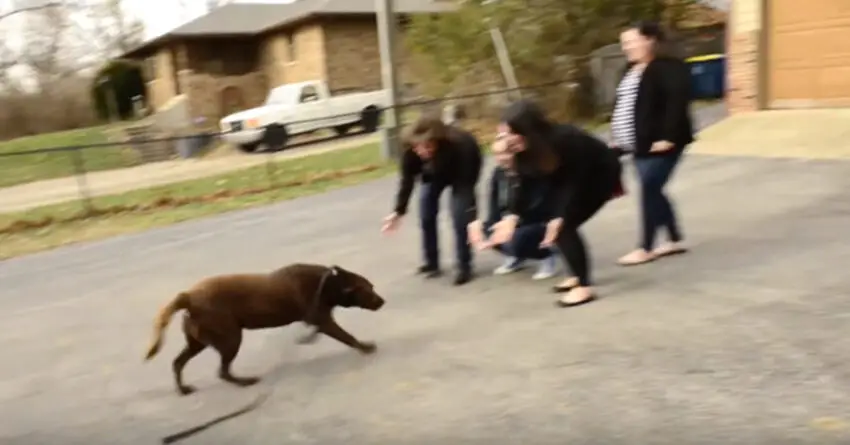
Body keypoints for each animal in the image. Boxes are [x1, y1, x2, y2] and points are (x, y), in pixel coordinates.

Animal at [143, 262, 384, 394]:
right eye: (369, 289)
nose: (383, 301)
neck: (330, 283)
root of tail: (188, 297)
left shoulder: (319, 319)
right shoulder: (323, 320)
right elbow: (347, 336)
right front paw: (365, 347)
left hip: (197, 341)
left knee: (178, 363)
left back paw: (183, 390)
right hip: (230, 337)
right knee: (222, 371)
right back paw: (244, 382)